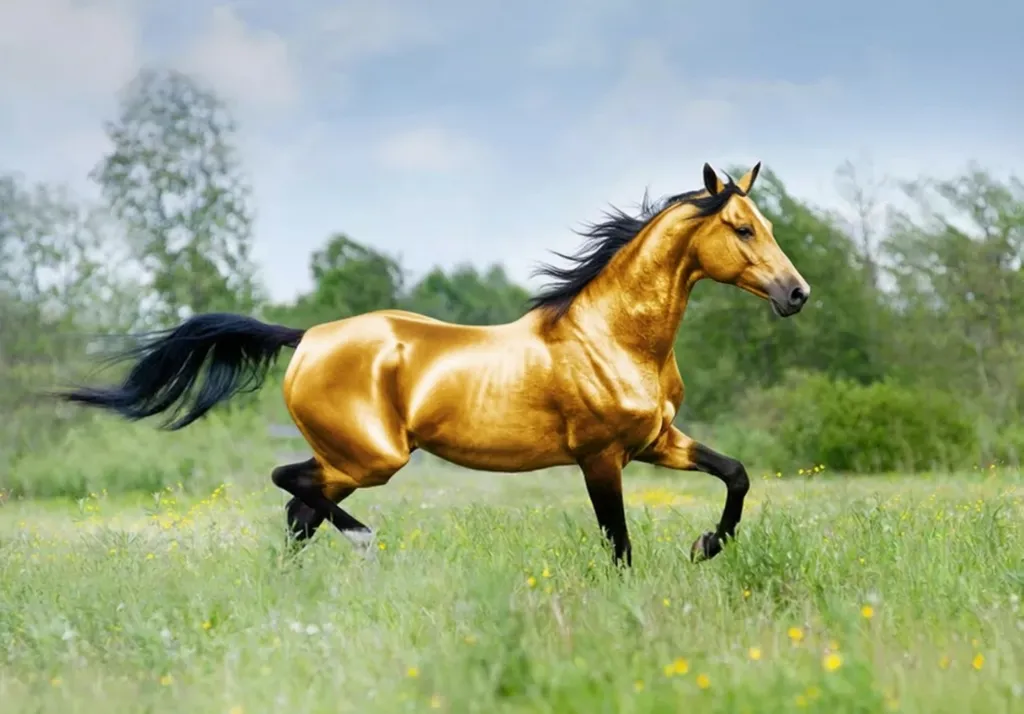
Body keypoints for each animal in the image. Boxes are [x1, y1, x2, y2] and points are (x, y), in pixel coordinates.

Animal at [58, 161, 809, 567]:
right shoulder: (601, 458)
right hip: (371, 457)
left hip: (350, 460)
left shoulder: (656, 441)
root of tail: (306, 337)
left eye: (768, 226)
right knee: (290, 486)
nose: (796, 293)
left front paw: (705, 545)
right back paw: (365, 543)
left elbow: (736, 475)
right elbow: (618, 543)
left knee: (298, 511)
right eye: (742, 229)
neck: (612, 337)